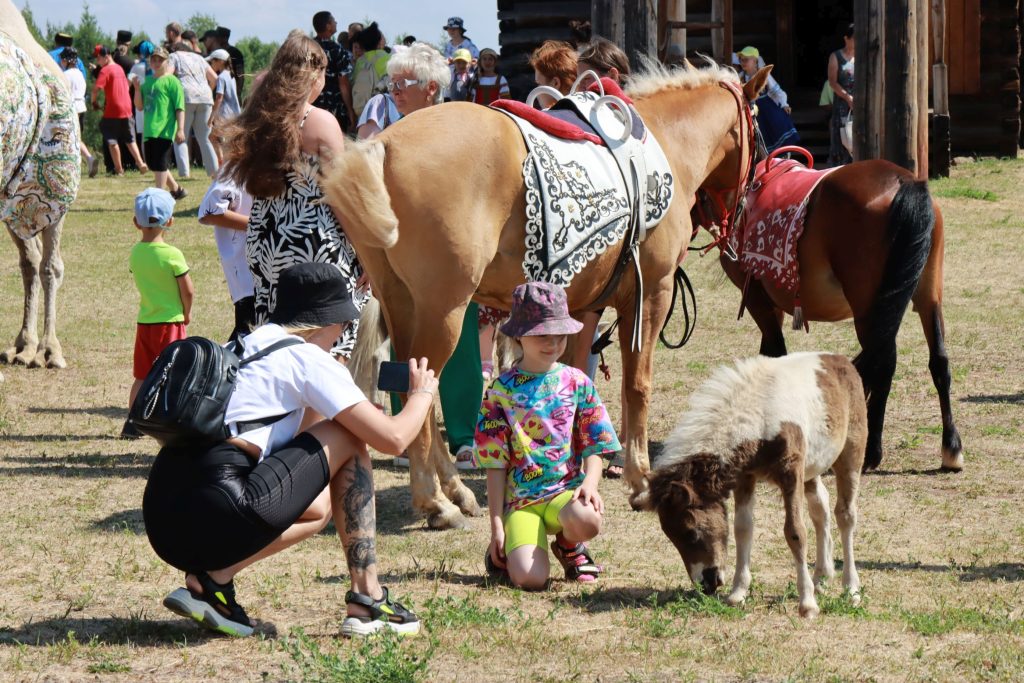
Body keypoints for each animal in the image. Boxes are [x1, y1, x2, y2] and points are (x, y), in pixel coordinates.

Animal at [325, 62, 770, 528]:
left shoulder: (583, 305)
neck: (665, 142)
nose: (747, 197)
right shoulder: (652, 294)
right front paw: (640, 477)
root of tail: (385, 144)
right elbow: (637, 385)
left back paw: (454, 491)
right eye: (758, 132)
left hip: (402, 304)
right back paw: (436, 501)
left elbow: (575, 376)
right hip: (444, 311)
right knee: (419, 387)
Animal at [643, 352, 868, 618]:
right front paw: (738, 593)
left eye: (690, 532)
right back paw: (821, 578)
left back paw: (851, 589)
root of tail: (839, 359)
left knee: (845, 515)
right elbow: (742, 528)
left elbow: (795, 532)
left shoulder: (791, 472)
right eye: (671, 536)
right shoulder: (746, 475)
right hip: (812, 465)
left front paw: (807, 603)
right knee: (820, 509)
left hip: (850, 453)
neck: (761, 416)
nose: (706, 584)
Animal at [696, 143, 958, 471]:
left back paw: (871, 451)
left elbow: (773, 354)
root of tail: (905, 182)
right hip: (926, 295)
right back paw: (950, 447)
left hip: (868, 307)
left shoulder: (758, 300)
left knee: (882, 363)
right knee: (938, 361)